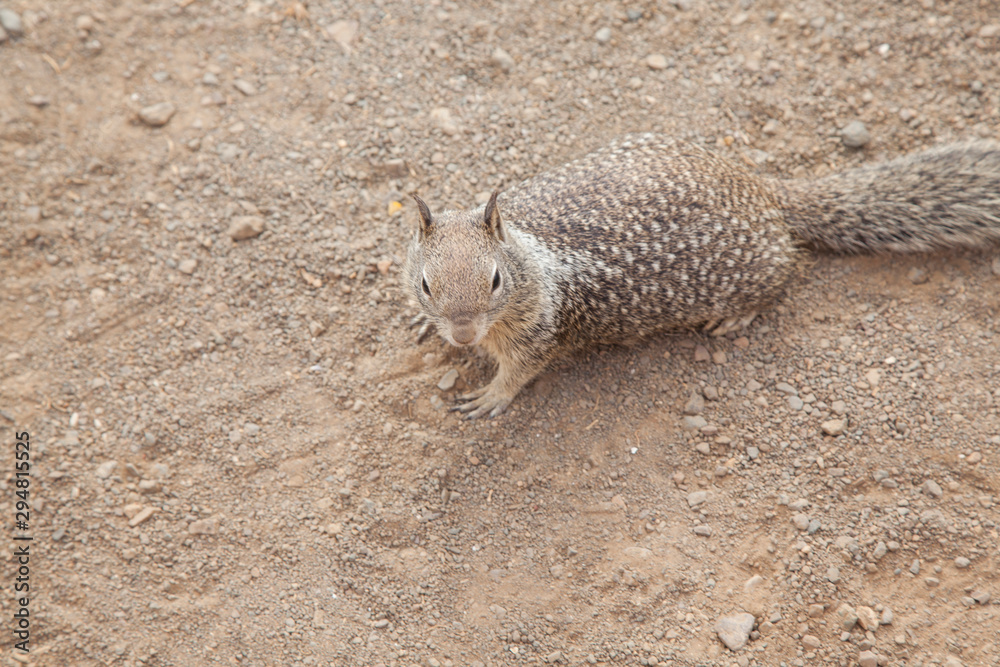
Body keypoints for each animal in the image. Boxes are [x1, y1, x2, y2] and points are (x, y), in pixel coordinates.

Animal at [404, 133, 1000, 418]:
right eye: (428, 284)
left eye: (496, 281)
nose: (463, 335)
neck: (528, 254)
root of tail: (762, 189)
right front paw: (424, 324)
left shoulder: (540, 332)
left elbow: (520, 372)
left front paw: (491, 395)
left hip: (759, 270)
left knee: (788, 273)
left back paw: (735, 318)